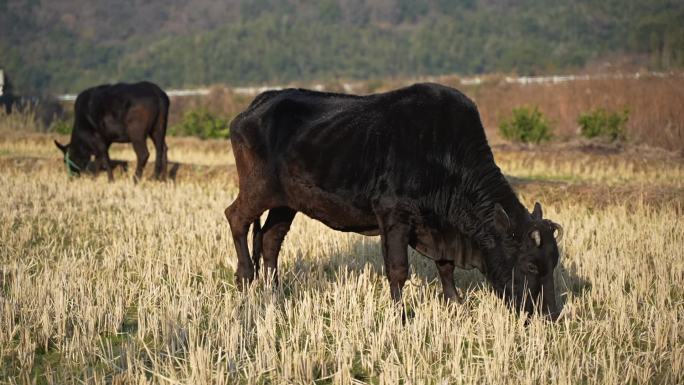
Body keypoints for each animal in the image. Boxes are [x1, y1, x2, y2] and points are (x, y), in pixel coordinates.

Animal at [227, 83, 564, 318]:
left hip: (286, 203)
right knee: (236, 218)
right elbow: (399, 269)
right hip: (257, 188)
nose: (550, 315)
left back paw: (273, 291)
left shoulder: (440, 226)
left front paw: (455, 302)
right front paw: (400, 314)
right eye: (529, 266)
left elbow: (445, 266)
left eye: (554, 262)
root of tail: (260, 102)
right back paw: (245, 278)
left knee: (270, 239)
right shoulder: (393, 213)